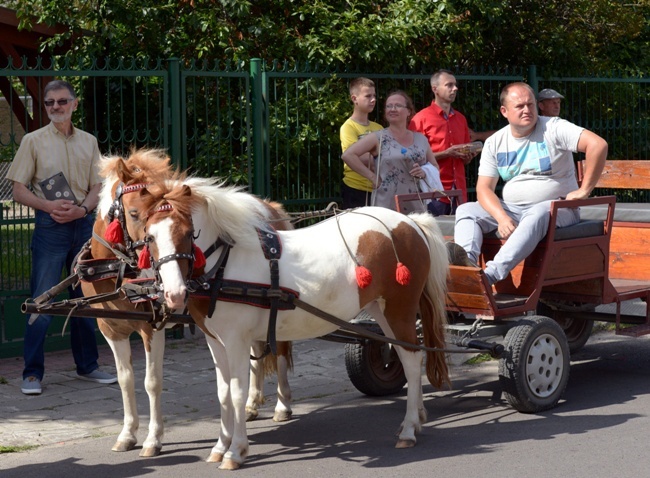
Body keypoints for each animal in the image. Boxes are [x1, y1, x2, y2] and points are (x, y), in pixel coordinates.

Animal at [79, 149, 292, 456]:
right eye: (135, 213)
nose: (156, 274)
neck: (115, 270)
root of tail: (270, 207)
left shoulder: (151, 328)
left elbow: (152, 383)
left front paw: (153, 438)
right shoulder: (111, 330)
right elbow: (125, 380)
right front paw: (128, 433)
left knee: (282, 351)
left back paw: (283, 404)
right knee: (256, 350)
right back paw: (252, 404)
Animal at [123, 177, 450, 468]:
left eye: (189, 232)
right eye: (150, 236)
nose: (174, 294)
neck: (226, 264)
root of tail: (410, 222)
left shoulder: (237, 341)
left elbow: (238, 392)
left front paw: (236, 451)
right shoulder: (215, 341)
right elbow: (223, 393)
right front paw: (220, 446)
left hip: (399, 309)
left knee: (412, 360)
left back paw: (408, 428)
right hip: (381, 311)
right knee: (407, 356)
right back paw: (417, 417)